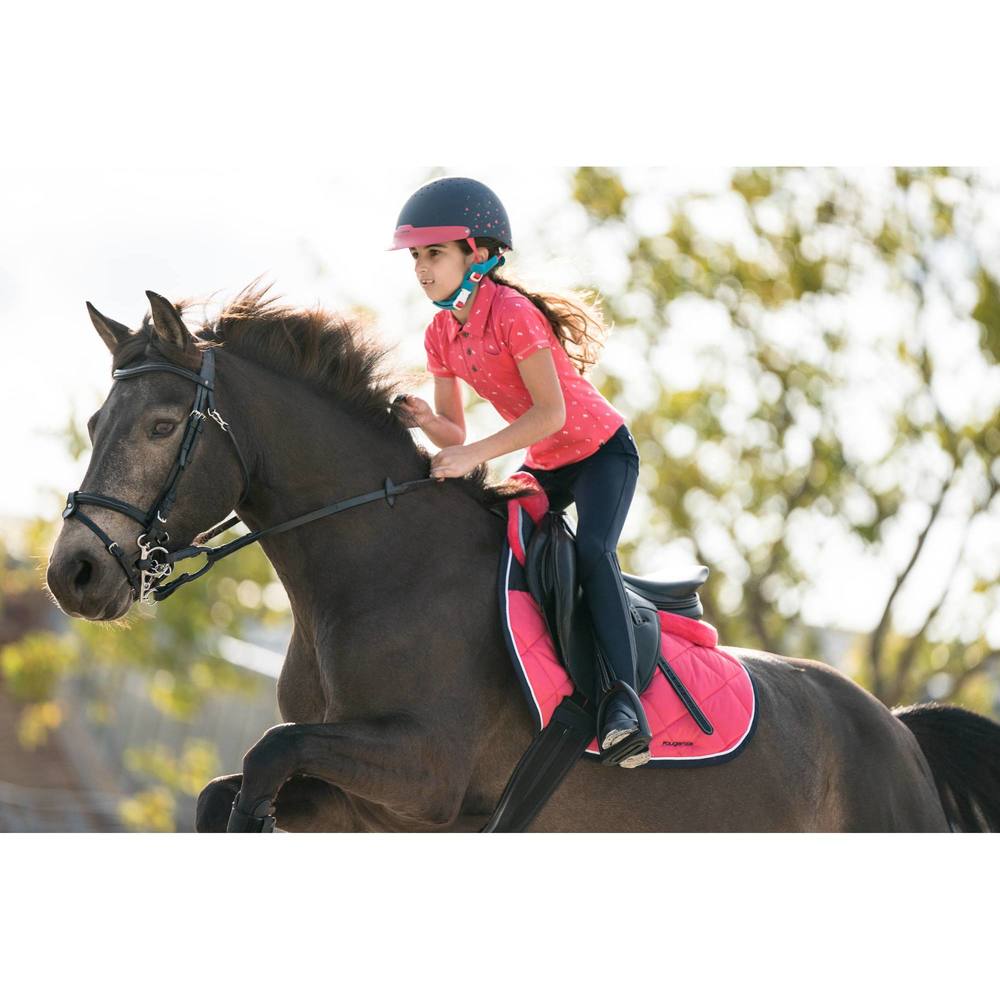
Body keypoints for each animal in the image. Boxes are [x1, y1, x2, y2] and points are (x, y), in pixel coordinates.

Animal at [45, 287, 1000, 832]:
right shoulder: (363, 803)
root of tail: (897, 728)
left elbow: (268, 756)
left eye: (162, 426)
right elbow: (231, 786)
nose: (72, 574)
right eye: (95, 424)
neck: (376, 571)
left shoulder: (425, 771)